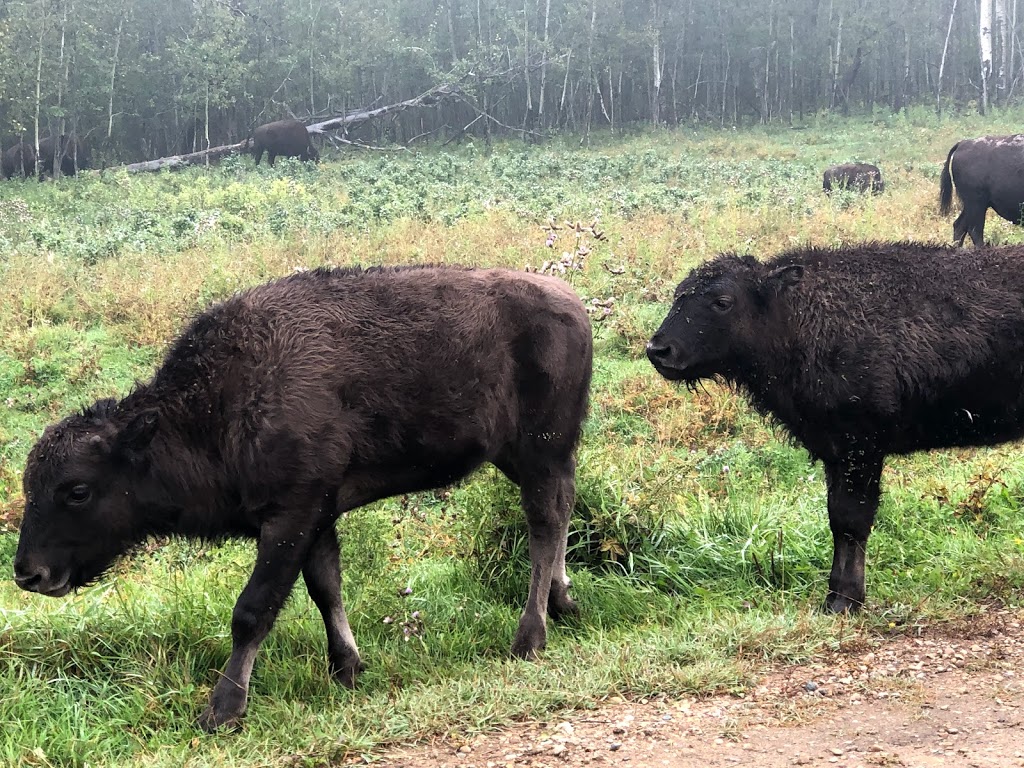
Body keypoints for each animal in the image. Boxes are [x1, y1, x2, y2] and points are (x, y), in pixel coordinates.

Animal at [12, 266, 593, 733]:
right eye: (29, 486)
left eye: (78, 490)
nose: (28, 574)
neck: (216, 407)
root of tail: (572, 301)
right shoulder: (318, 517)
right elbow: (325, 589)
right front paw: (347, 668)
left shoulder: (291, 516)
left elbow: (252, 610)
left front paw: (222, 710)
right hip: (527, 456)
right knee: (560, 512)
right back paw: (564, 603)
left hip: (541, 450)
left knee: (544, 525)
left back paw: (530, 637)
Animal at [647, 243, 1024, 618]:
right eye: (678, 297)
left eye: (722, 301)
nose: (659, 350)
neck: (796, 317)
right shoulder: (834, 450)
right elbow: (836, 517)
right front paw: (835, 597)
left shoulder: (860, 448)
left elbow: (851, 519)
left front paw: (845, 599)